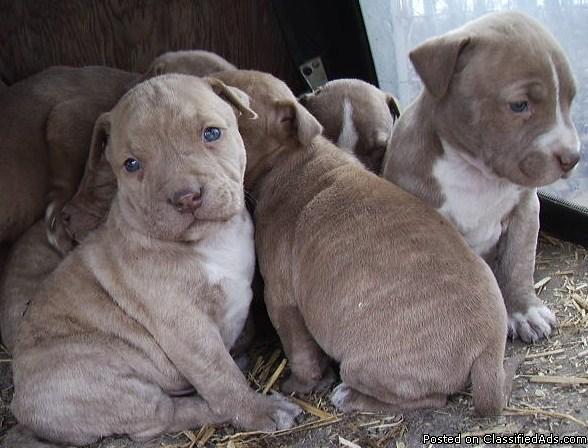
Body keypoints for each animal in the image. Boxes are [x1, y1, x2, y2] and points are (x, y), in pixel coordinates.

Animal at [9, 73, 300, 444]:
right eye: (132, 165)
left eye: (212, 133)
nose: (187, 197)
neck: (208, 241)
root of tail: (18, 405)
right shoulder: (184, 325)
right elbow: (219, 374)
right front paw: (257, 409)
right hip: (97, 376)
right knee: (160, 417)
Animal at [214, 70, 516, 416]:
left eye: (231, 102)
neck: (289, 158)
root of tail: (489, 348)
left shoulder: (282, 300)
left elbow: (300, 353)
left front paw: (299, 385)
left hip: (367, 365)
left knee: (428, 398)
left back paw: (348, 396)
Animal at [382, 13, 580, 344]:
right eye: (519, 105)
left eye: (569, 100)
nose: (573, 157)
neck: (474, 172)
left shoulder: (525, 210)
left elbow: (517, 264)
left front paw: (524, 311)